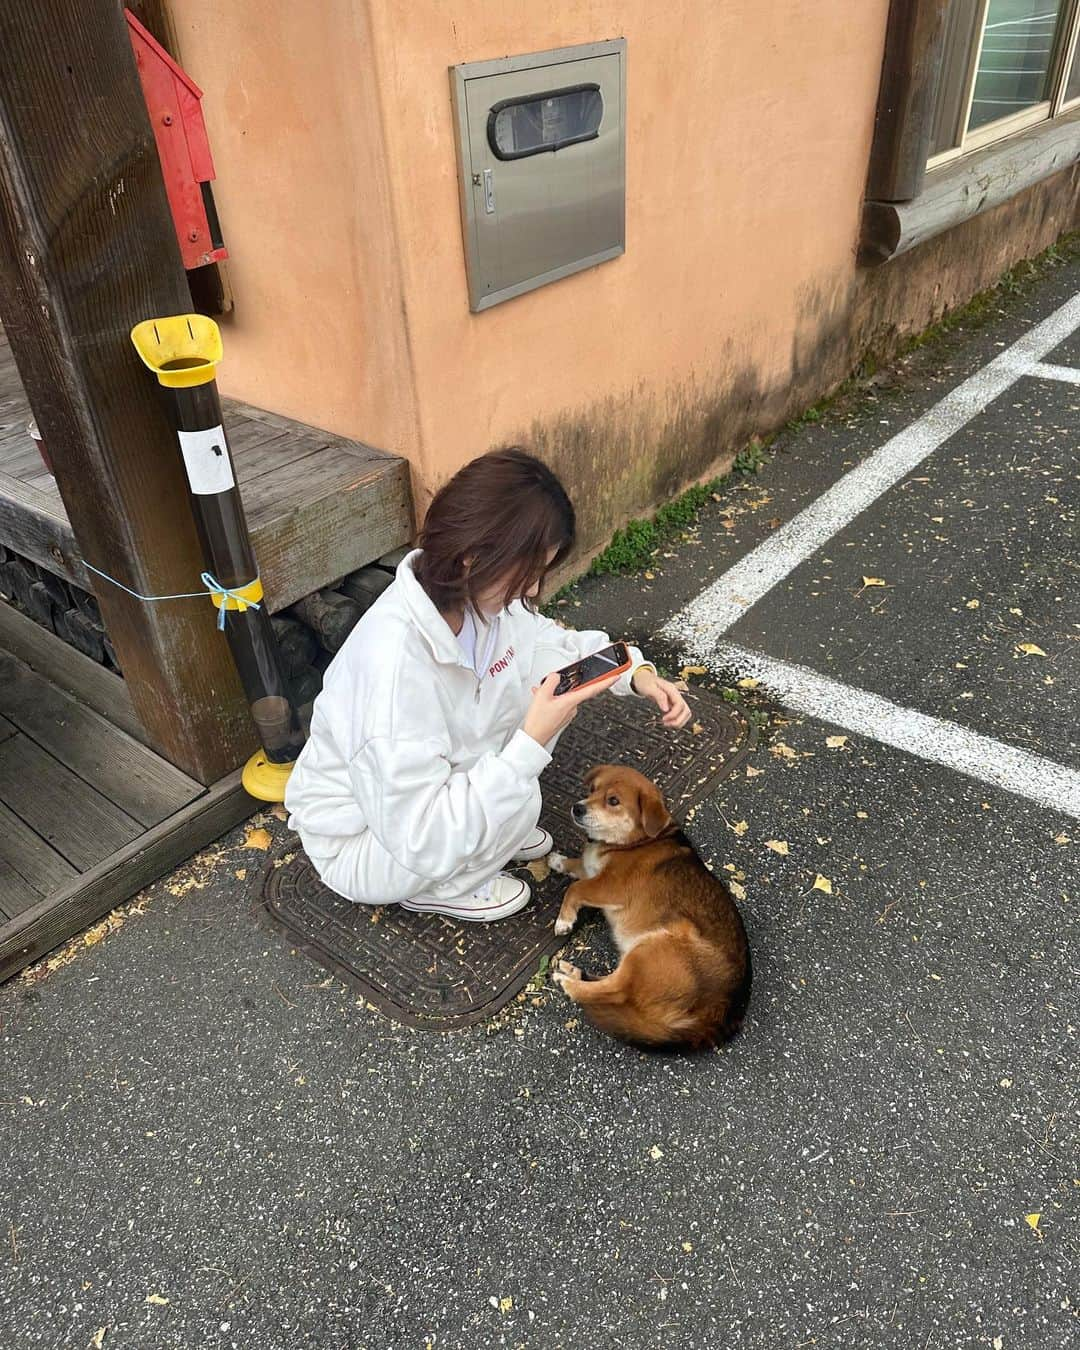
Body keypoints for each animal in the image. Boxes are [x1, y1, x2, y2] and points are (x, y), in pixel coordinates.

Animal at [548, 766, 750, 1047]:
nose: (577, 808)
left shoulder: (610, 886)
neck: (636, 841)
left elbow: (575, 889)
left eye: (613, 801)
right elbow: (577, 866)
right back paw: (575, 973)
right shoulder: (592, 872)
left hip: (652, 947)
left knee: (616, 991)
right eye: (592, 790)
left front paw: (564, 920)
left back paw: (569, 984)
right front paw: (558, 861)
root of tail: (715, 1017)